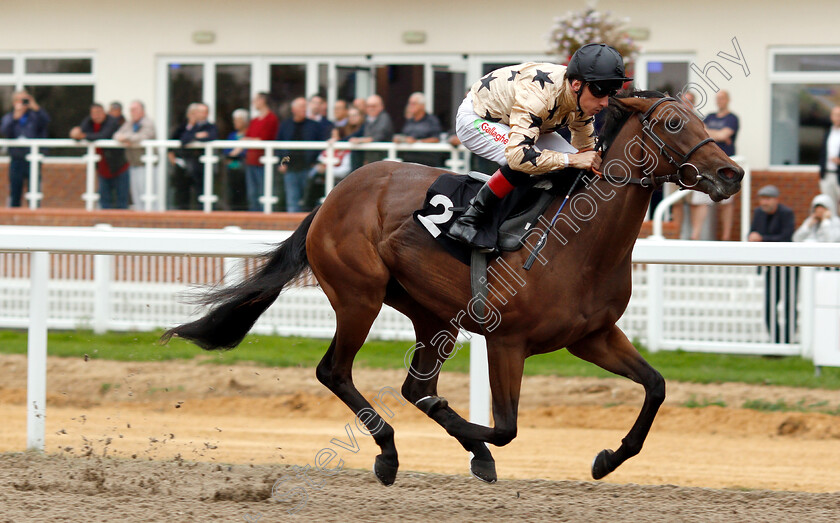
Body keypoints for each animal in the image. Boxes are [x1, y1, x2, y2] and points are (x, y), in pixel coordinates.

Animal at [162, 91, 740, 488]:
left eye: (704, 120)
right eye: (673, 123)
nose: (731, 172)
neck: (578, 241)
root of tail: (336, 195)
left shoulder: (592, 336)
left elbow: (656, 386)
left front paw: (606, 459)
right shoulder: (507, 341)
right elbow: (504, 427)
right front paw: (476, 444)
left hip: (431, 313)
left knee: (413, 387)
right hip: (359, 295)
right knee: (337, 372)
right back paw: (389, 452)